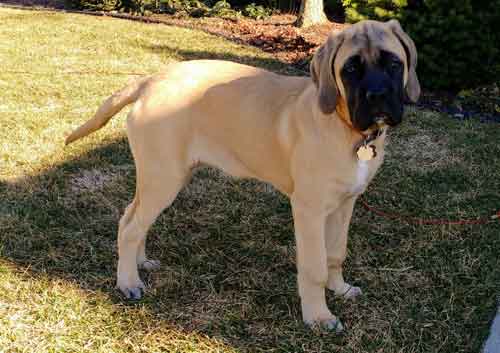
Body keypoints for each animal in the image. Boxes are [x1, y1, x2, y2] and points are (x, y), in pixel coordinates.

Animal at [64, 19, 420, 328]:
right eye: (350, 69)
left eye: (394, 64)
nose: (377, 98)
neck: (347, 129)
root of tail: (150, 80)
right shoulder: (309, 210)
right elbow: (314, 266)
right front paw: (318, 317)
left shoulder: (345, 204)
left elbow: (336, 253)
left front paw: (341, 289)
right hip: (163, 178)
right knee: (130, 227)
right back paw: (127, 282)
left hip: (160, 176)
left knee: (131, 217)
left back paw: (139, 263)